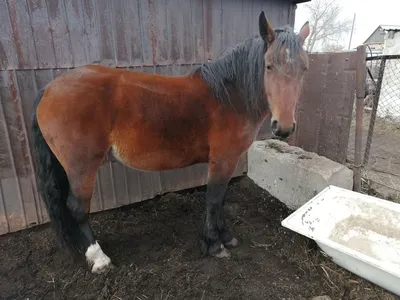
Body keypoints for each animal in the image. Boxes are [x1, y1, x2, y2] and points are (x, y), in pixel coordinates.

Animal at [32, 11, 310, 274]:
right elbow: (214, 199)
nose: (284, 127)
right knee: (77, 209)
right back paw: (99, 258)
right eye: (268, 66)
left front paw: (225, 237)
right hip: (82, 166)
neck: (230, 97)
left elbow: (221, 199)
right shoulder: (223, 159)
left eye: (304, 69)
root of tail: (48, 88)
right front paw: (214, 244)